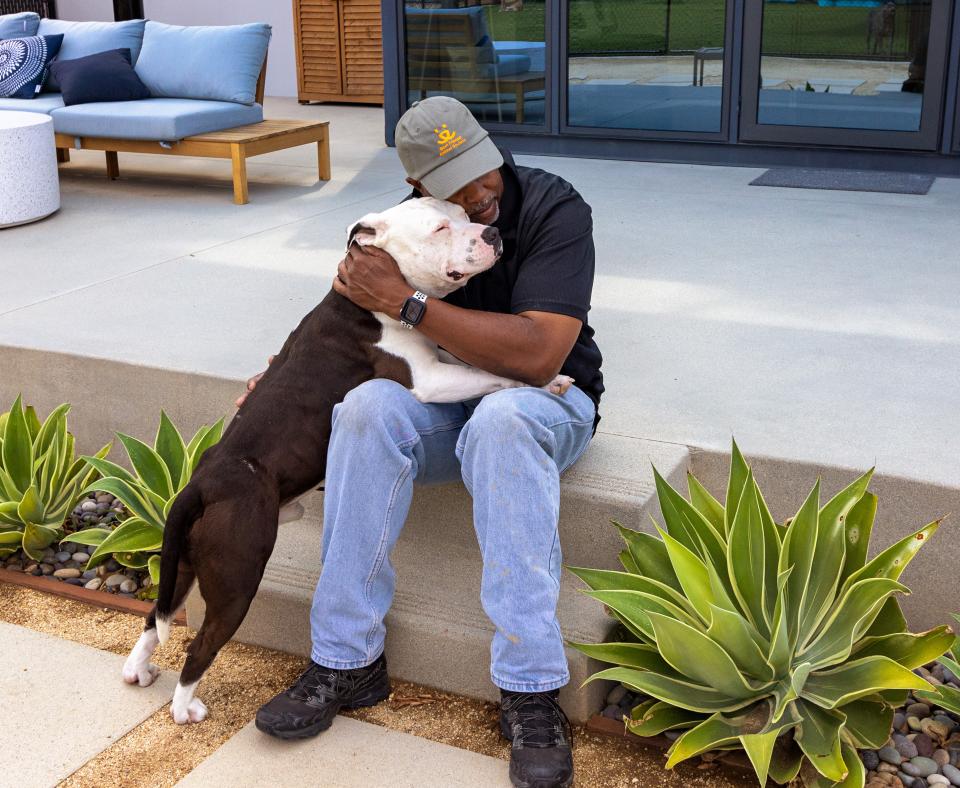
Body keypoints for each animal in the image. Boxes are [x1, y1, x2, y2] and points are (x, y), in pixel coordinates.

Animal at [120, 199, 568, 728]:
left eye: (464, 213)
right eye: (441, 227)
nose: (493, 233)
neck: (369, 305)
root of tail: (201, 483)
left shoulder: (441, 361)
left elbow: (477, 358)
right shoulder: (429, 379)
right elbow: (488, 372)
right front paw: (547, 380)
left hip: (185, 562)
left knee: (156, 616)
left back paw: (137, 670)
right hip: (237, 577)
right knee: (200, 644)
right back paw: (184, 707)